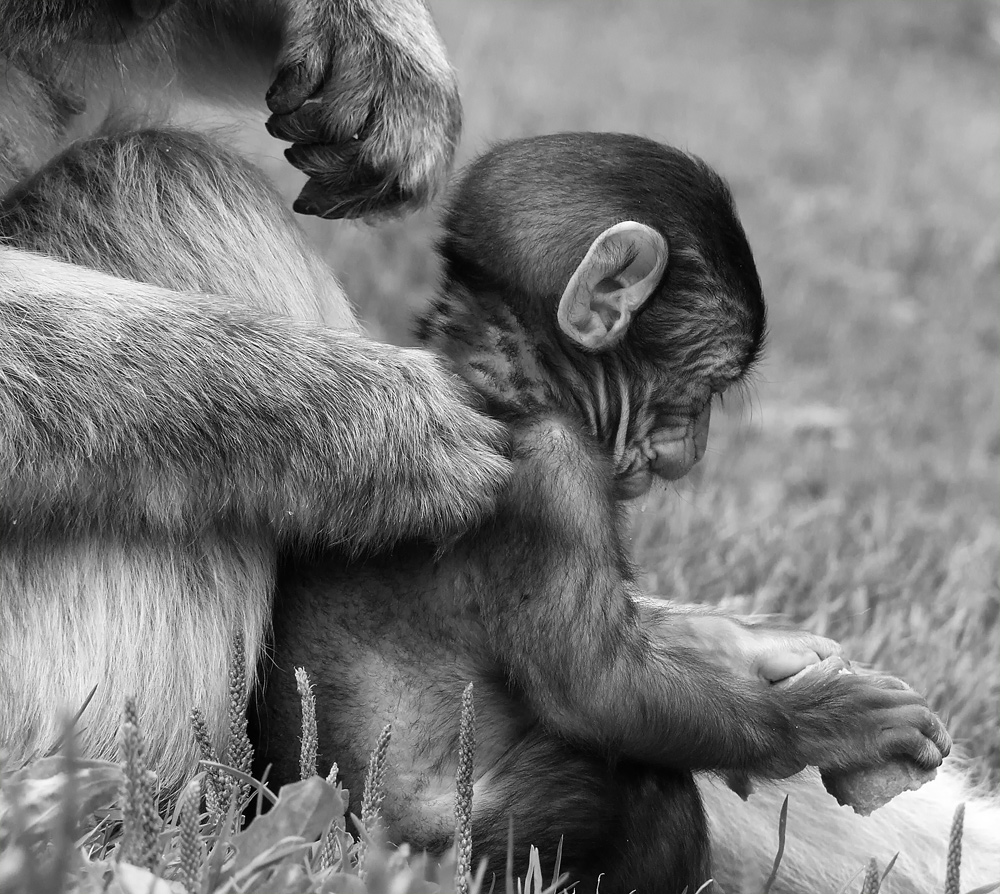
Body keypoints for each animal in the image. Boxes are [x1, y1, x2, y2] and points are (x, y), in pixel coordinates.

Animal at [254, 133, 948, 894]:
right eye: (708, 388)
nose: (693, 449)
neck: (510, 381)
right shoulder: (554, 474)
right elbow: (598, 688)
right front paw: (827, 721)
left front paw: (759, 646)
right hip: (451, 854)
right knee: (632, 786)